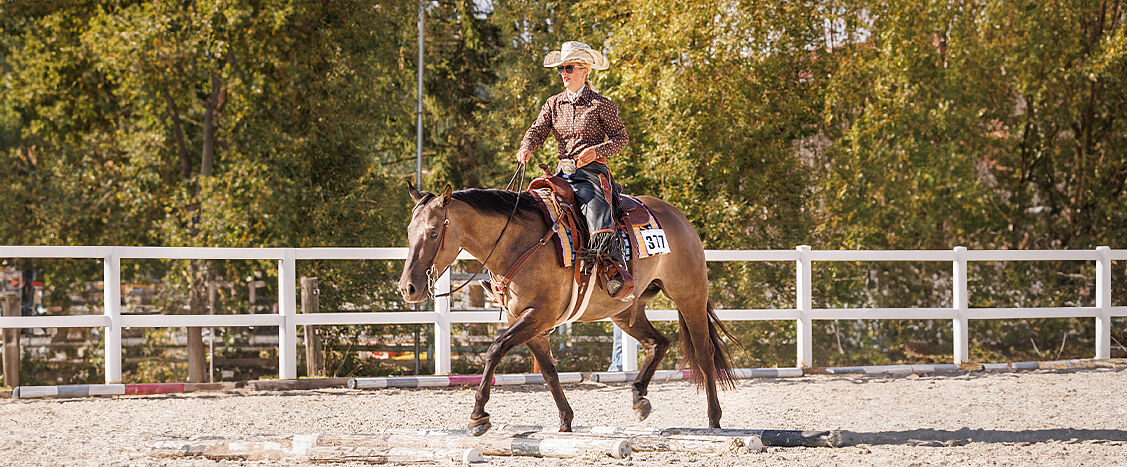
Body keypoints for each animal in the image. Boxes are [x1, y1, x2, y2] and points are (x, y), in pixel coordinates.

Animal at [398, 182, 741, 436]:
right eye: (409, 232)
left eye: (433, 232)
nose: (408, 288)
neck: (517, 243)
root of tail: (677, 217)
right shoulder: (527, 321)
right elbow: (548, 370)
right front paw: (565, 420)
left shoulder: (537, 316)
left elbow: (494, 349)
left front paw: (478, 415)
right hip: (624, 311)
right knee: (659, 342)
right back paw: (639, 397)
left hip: (690, 297)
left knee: (704, 354)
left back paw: (714, 418)